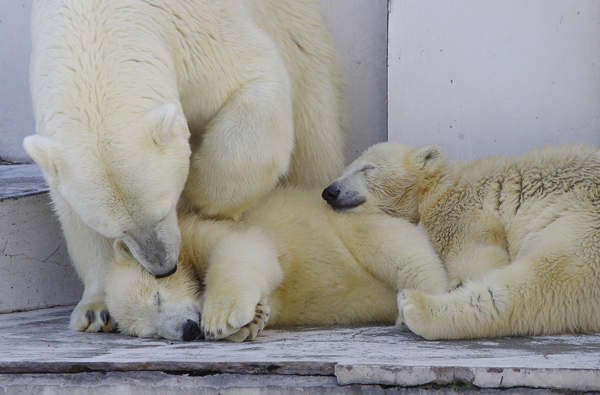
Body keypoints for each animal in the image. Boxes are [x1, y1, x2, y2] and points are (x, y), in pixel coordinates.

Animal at [23, 0, 344, 334]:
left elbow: (253, 81)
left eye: (165, 209)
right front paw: (95, 310)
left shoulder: (199, 31)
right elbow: (73, 214)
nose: (164, 268)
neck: (97, 26)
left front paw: (199, 196)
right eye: (118, 230)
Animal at [326, 142, 600, 340]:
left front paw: (456, 282)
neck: (437, 188)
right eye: (344, 170)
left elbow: (480, 254)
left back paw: (415, 307)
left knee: (542, 283)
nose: (330, 191)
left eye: (367, 168)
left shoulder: (462, 209)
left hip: (583, 225)